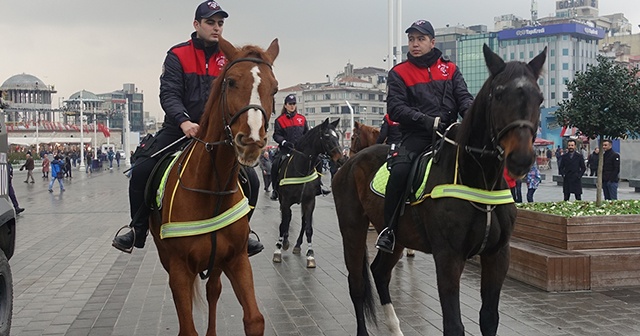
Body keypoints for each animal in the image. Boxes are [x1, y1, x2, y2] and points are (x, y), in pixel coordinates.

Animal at [150, 36, 280, 336]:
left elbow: (254, 319)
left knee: (213, 290)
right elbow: (187, 327)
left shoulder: (236, 259)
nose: (252, 140)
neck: (212, 189)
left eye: (275, 88)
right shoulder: (179, 268)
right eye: (231, 81)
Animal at [274, 118, 344, 268]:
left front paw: (310, 255)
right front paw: (277, 250)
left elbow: (308, 227)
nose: (341, 159)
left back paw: (297, 245)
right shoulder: (285, 201)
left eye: (337, 136)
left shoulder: (310, 201)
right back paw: (285, 242)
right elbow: (284, 224)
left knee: (303, 222)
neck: (301, 169)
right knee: (287, 219)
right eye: (326, 136)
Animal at [332, 45, 548, 336]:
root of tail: (349, 164)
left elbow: (489, 318)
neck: (477, 178)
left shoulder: (498, 255)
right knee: (356, 284)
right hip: (352, 230)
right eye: (499, 94)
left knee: (379, 272)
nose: (522, 159)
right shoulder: (448, 257)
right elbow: (453, 324)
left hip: (398, 237)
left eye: (540, 97)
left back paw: (395, 327)